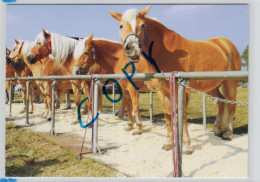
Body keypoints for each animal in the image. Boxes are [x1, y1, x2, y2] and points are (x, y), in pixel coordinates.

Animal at [108, 5, 242, 152]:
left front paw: (187, 145)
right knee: (221, 103)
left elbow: (181, 116)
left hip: (230, 83)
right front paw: (168, 143)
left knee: (231, 105)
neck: (164, 53)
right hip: (211, 86)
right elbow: (168, 116)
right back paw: (217, 129)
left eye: (143, 25)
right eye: (121, 26)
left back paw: (228, 132)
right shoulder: (162, 92)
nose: (132, 49)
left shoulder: (179, 90)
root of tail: (225, 43)